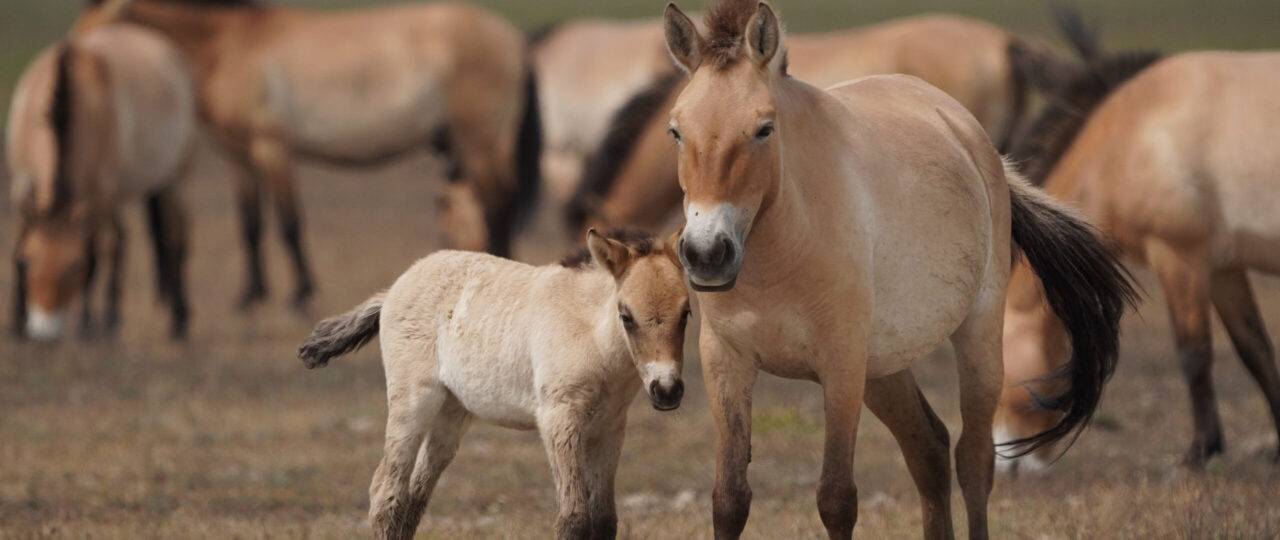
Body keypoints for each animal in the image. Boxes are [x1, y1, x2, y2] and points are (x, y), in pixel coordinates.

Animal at [7, 22, 197, 340]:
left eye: (74, 267)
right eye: (27, 262)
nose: (44, 330)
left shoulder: (100, 195)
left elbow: (99, 251)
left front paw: (93, 321)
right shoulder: (21, 183)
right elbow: (16, 240)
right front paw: (14, 322)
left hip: (175, 176)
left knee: (171, 237)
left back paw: (176, 318)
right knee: (124, 236)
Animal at [78, 0, 542, 310]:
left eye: (102, 22)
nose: (73, 58)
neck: (231, 45)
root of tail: (511, 39)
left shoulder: (272, 148)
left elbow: (288, 222)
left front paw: (299, 293)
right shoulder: (238, 156)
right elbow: (250, 224)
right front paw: (250, 293)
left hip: (480, 142)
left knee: (499, 204)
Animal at [298, 229, 689, 539]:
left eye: (686, 314)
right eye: (626, 315)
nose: (667, 390)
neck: (592, 335)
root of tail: (396, 286)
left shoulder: (609, 427)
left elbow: (605, 520)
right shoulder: (559, 420)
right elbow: (575, 519)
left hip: (451, 413)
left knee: (414, 497)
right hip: (412, 402)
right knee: (386, 493)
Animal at [661, 1, 1136, 537]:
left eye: (764, 128)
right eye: (676, 131)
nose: (707, 253)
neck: (779, 255)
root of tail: (966, 131)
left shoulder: (841, 368)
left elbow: (836, 498)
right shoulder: (726, 364)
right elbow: (730, 499)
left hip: (976, 341)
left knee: (973, 461)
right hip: (885, 369)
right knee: (929, 448)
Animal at [995, 28, 1280, 470]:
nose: (1003, 457)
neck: (1133, 131)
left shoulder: (1178, 255)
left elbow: (1194, 353)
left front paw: (1196, 454)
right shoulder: (1223, 269)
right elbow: (1256, 350)